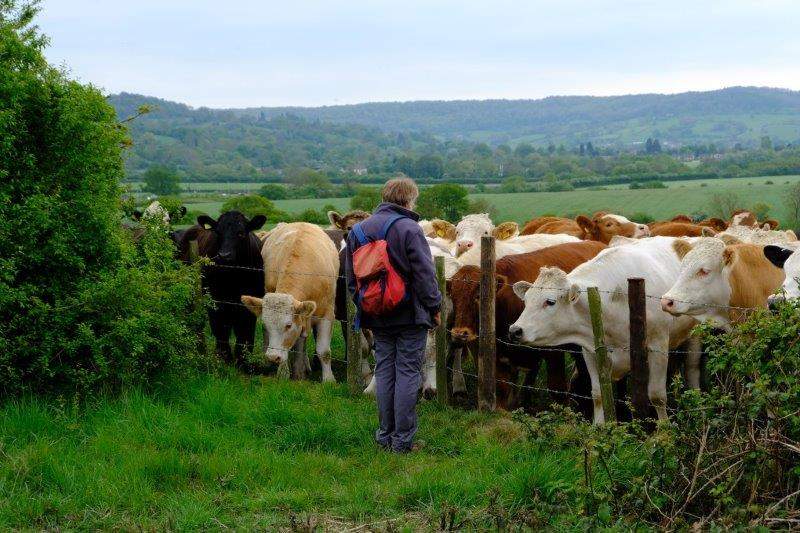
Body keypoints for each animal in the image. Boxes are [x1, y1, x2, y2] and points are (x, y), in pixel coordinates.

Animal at [175, 212, 266, 366]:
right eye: (218, 233)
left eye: (241, 233)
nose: (224, 255)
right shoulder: (215, 300)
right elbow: (220, 329)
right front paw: (224, 357)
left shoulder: (250, 301)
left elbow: (245, 332)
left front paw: (243, 361)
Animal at [238, 222, 338, 380]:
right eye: (265, 324)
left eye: (288, 325)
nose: (273, 357)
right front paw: (283, 372)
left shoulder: (327, 314)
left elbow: (324, 351)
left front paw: (329, 380)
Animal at [450, 240, 608, 408]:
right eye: (452, 296)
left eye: (478, 296)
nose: (459, 334)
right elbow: (502, 391)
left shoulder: (553, 350)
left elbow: (557, 388)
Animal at [510, 237, 704, 424]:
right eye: (526, 300)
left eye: (550, 302)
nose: (515, 330)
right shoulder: (590, 351)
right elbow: (597, 394)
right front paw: (599, 426)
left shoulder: (658, 346)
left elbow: (657, 396)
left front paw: (664, 428)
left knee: (693, 370)